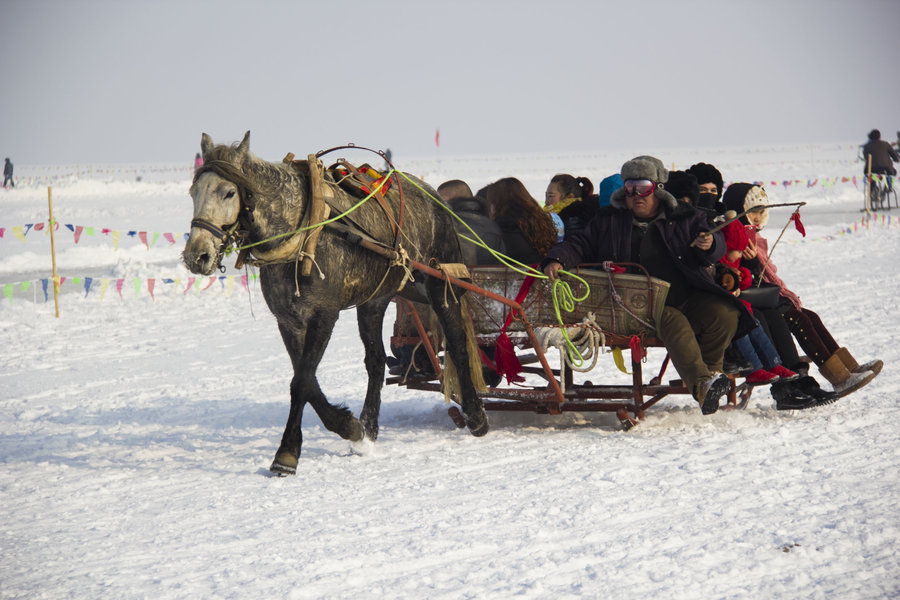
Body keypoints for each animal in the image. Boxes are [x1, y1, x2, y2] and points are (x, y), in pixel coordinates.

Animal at [181, 131, 486, 474]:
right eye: (193, 191)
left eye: (229, 192)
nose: (197, 255)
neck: (300, 230)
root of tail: (436, 199)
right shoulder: (288, 320)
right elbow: (306, 379)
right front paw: (352, 428)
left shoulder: (323, 315)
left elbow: (301, 382)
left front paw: (287, 453)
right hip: (377, 299)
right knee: (376, 361)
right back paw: (370, 426)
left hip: (441, 282)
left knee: (457, 343)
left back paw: (476, 415)